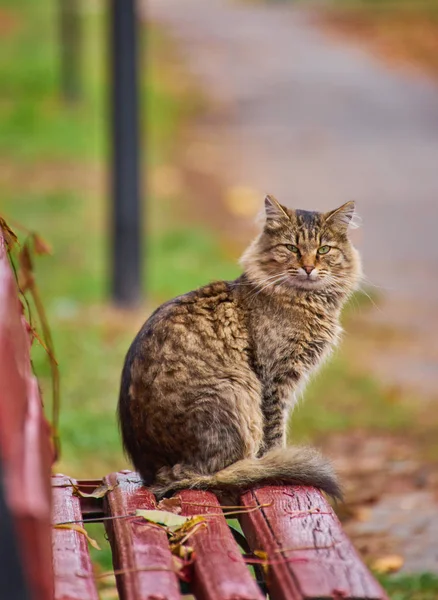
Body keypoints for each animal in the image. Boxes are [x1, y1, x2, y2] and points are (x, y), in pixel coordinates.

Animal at [118, 195, 362, 500]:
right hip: (237, 389)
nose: (308, 267)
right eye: (292, 248)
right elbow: (275, 432)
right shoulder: (274, 379)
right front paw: (276, 461)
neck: (305, 300)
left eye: (324, 249)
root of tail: (153, 472)